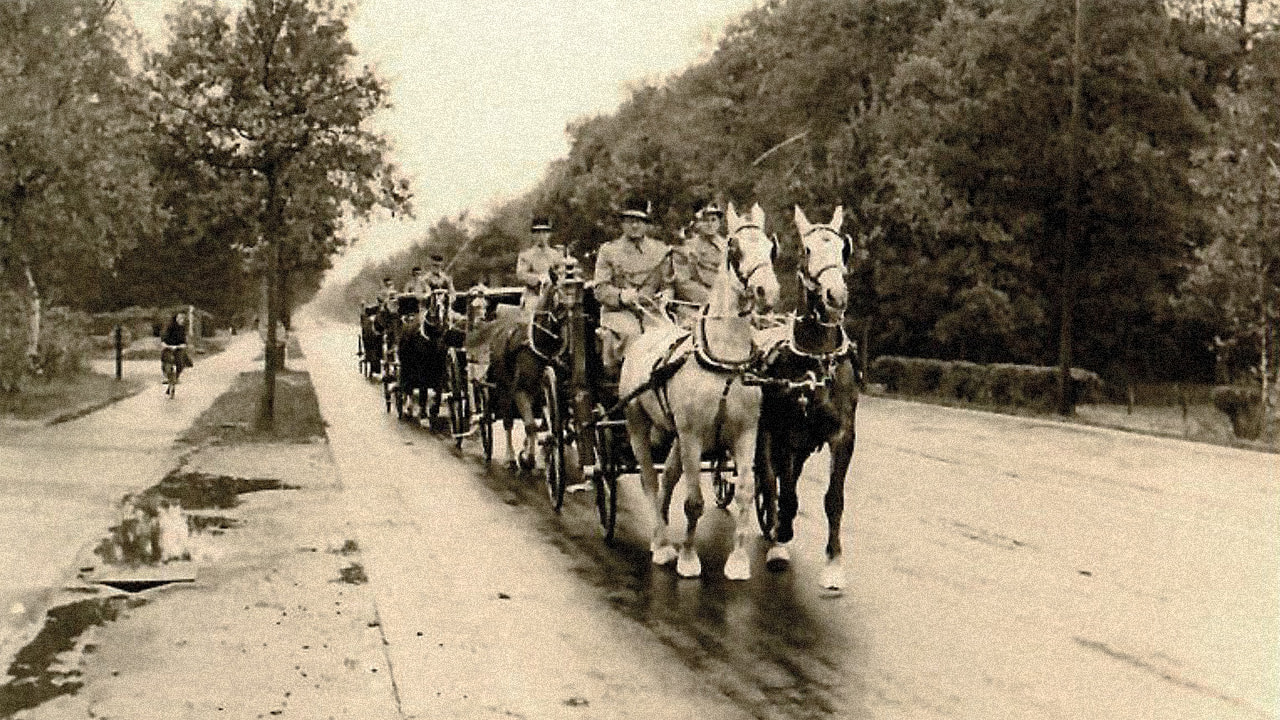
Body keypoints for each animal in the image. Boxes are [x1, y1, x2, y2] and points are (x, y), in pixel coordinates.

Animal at [619, 202, 778, 576]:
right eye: (735, 249)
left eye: (771, 247)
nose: (768, 292)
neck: (725, 359)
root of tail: (654, 327)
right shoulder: (692, 434)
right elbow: (693, 502)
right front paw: (689, 559)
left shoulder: (745, 433)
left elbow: (745, 492)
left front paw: (738, 560)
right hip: (637, 423)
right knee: (650, 480)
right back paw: (663, 544)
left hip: (676, 434)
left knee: (668, 477)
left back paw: (659, 533)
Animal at [747, 206, 860, 589]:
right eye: (806, 250)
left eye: (843, 249)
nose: (836, 296)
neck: (816, 361)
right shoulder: (785, 434)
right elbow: (786, 493)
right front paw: (780, 544)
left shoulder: (842, 436)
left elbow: (834, 499)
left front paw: (834, 563)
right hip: (766, 435)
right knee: (770, 480)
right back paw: (776, 529)